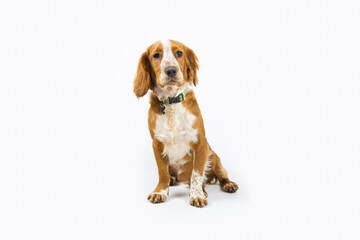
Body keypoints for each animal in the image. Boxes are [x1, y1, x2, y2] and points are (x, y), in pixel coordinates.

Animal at [134, 39, 238, 208]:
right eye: (156, 55)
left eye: (179, 53)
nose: (171, 70)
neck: (171, 101)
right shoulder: (157, 143)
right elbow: (162, 172)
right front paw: (160, 191)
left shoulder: (200, 143)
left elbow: (196, 174)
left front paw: (197, 195)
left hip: (215, 158)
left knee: (221, 175)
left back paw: (228, 184)